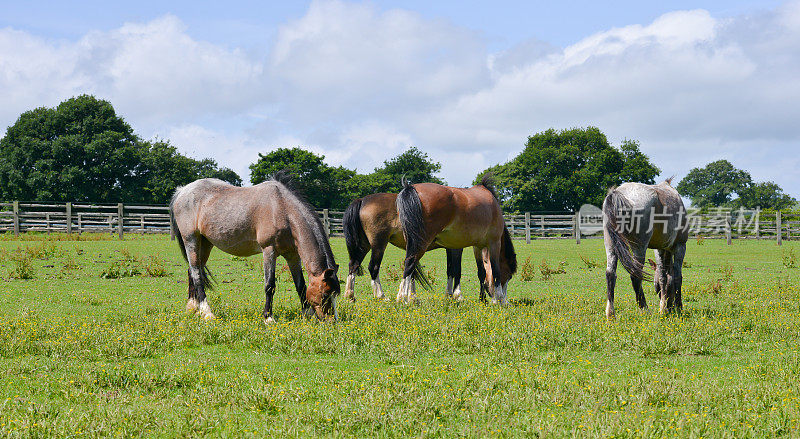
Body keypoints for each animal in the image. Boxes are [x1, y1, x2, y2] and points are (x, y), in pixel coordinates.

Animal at [170, 174, 340, 324]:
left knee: (193, 270)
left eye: (334, 293)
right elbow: (270, 285)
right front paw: (268, 317)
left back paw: (193, 309)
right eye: (325, 294)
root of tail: (181, 191)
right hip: (191, 240)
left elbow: (301, 285)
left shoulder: (292, 255)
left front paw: (308, 314)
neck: (282, 209)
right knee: (197, 274)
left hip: (205, 243)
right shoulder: (269, 251)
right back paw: (207, 313)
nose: (332, 321)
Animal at [340, 192, 516, 302]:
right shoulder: (457, 248)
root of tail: (362, 200)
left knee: (353, 265)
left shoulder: (449, 248)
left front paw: (449, 294)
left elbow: (450, 270)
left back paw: (350, 295)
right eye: (507, 274)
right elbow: (457, 270)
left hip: (364, 245)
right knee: (373, 267)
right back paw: (381, 296)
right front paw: (457, 295)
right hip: (379, 244)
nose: (503, 296)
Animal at [604, 179, 692, 320]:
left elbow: (663, 277)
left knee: (610, 274)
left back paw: (611, 314)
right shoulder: (680, 246)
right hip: (639, 247)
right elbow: (677, 277)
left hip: (611, 245)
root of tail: (617, 193)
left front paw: (663, 308)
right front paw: (678, 308)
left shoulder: (660, 249)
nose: (670, 306)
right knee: (635, 276)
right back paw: (644, 309)